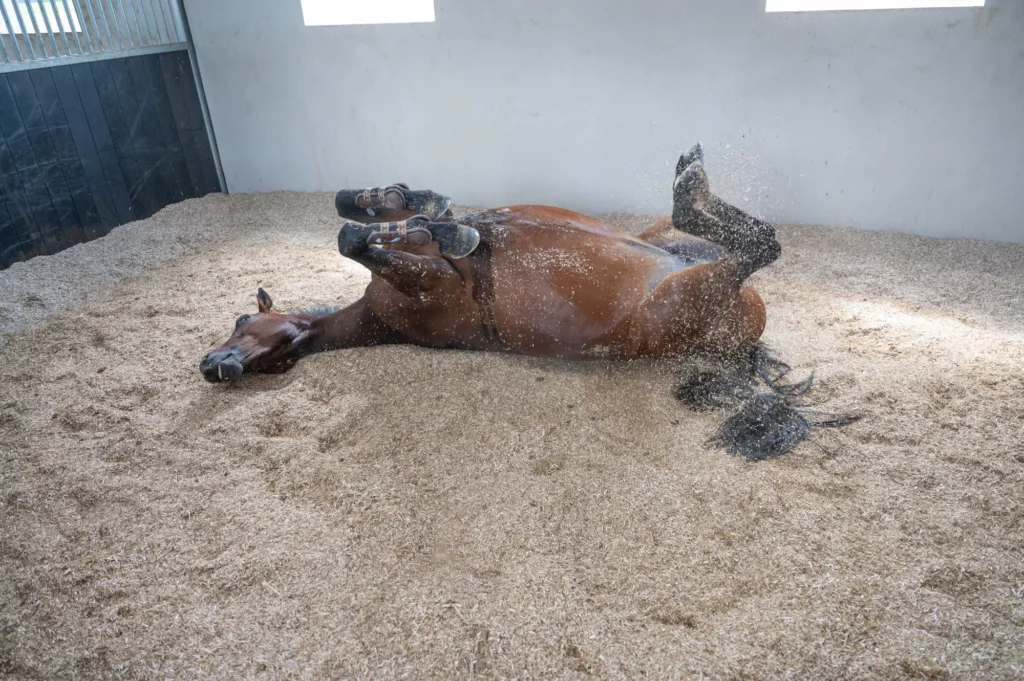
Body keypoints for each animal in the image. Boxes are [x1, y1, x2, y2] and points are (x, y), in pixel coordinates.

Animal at [200, 144, 855, 458]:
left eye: (241, 318)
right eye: (276, 366)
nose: (213, 365)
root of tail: (746, 341)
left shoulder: (423, 268)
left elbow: (361, 219)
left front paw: (427, 210)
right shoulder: (435, 290)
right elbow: (358, 239)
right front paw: (443, 226)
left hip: (665, 246)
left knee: (744, 240)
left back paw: (690, 177)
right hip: (677, 299)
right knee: (759, 245)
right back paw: (690, 182)